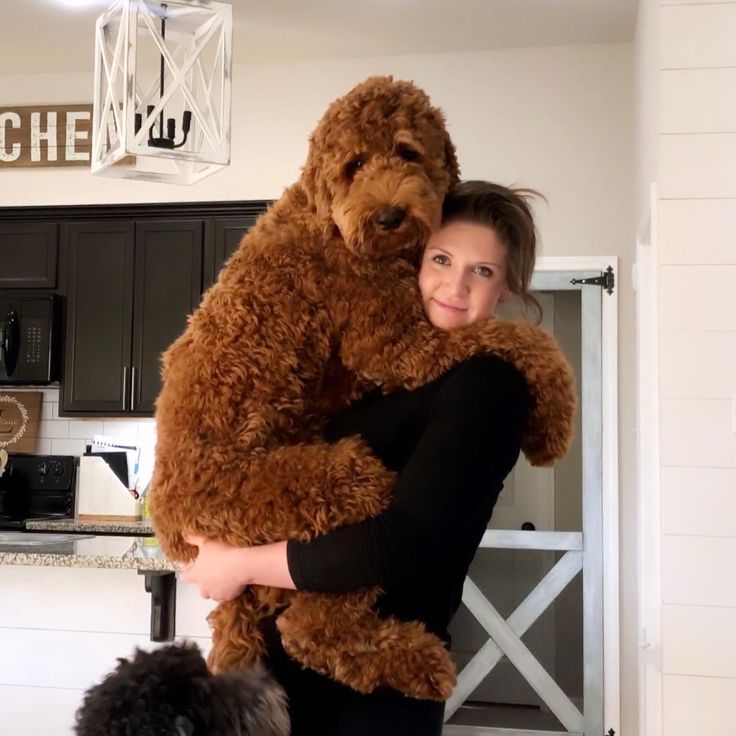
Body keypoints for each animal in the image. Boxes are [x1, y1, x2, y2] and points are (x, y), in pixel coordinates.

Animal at [151, 76, 576, 700]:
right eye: (352, 165)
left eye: (407, 151)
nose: (390, 215)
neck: (328, 220)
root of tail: (167, 519)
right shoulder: (395, 342)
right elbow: (515, 336)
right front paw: (555, 418)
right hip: (329, 486)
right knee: (309, 624)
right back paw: (413, 659)